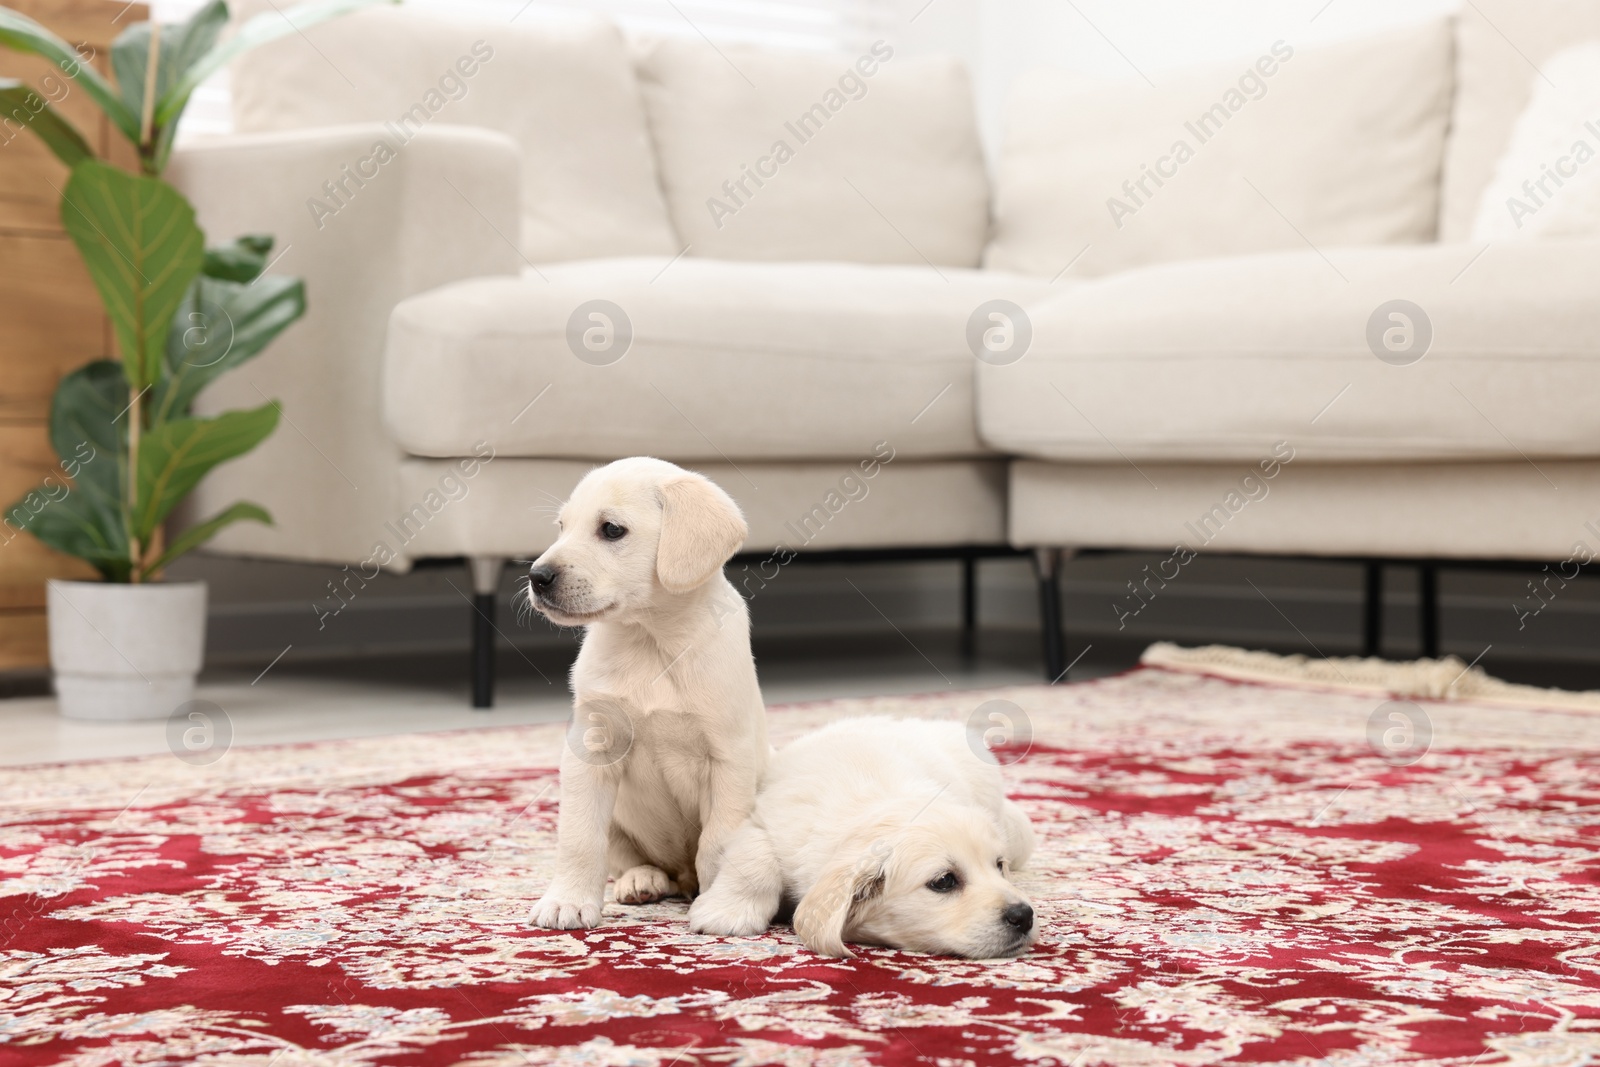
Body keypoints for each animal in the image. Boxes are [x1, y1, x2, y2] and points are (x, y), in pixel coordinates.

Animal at [524, 454, 768, 927]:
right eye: (562, 526)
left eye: (611, 529)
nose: (536, 576)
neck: (650, 641)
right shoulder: (589, 748)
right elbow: (580, 837)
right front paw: (568, 900)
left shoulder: (729, 758)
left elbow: (718, 843)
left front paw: (723, 903)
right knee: (633, 860)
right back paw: (642, 880)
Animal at [688, 716, 1036, 959]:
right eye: (944, 881)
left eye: (999, 865)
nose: (1024, 916)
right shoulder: (763, 821)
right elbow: (753, 858)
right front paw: (727, 913)